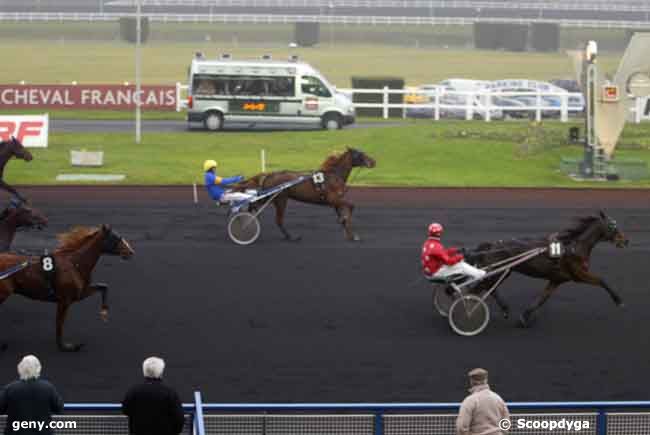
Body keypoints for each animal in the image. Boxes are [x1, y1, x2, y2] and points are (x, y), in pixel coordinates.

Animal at [0, 225, 134, 350]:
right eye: (116, 238)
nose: (130, 252)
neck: (74, 263)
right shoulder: (64, 301)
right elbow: (59, 324)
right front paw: (65, 346)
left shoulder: (80, 293)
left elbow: (103, 287)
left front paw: (104, 311)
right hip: (4, 293)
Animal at [233, 147, 374, 242]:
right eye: (360, 154)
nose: (373, 161)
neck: (333, 175)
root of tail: (269, 175)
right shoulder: (333, 198)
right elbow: (351, 206)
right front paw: (348, 228)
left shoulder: (335, 200)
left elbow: (343, 212)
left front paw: (350, 234)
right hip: (280, 199)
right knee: (277, 219)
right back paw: (290, 236)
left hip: (271, 197)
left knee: (254, 205)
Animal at [466, 213, 628, 328]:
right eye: (613, 227)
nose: (626, 240)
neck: (573, 247)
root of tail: (491, 245)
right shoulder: (579, 274)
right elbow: (601, 280)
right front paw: (618, 300)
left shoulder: (557, 280)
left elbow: (542, 299)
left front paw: (524, 318)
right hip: (499, 271)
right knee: (480, 287)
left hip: (504, 271)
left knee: (487, 287)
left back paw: (502, 309)